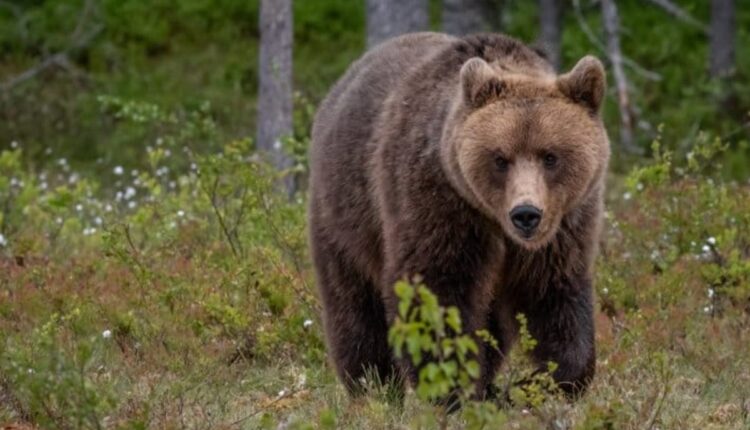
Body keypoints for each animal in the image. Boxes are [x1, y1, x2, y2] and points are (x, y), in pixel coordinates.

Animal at [308, 32, 609, 400]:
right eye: (500, 158)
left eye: (550, 156)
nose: (526, 214)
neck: (494, 221)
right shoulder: (439, 201)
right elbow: (436, 288)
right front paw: (452, 386)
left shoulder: (564, 226)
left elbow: (554, 293)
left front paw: (542, 383)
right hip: (347, 213)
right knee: (354, 305)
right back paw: (373, 385)